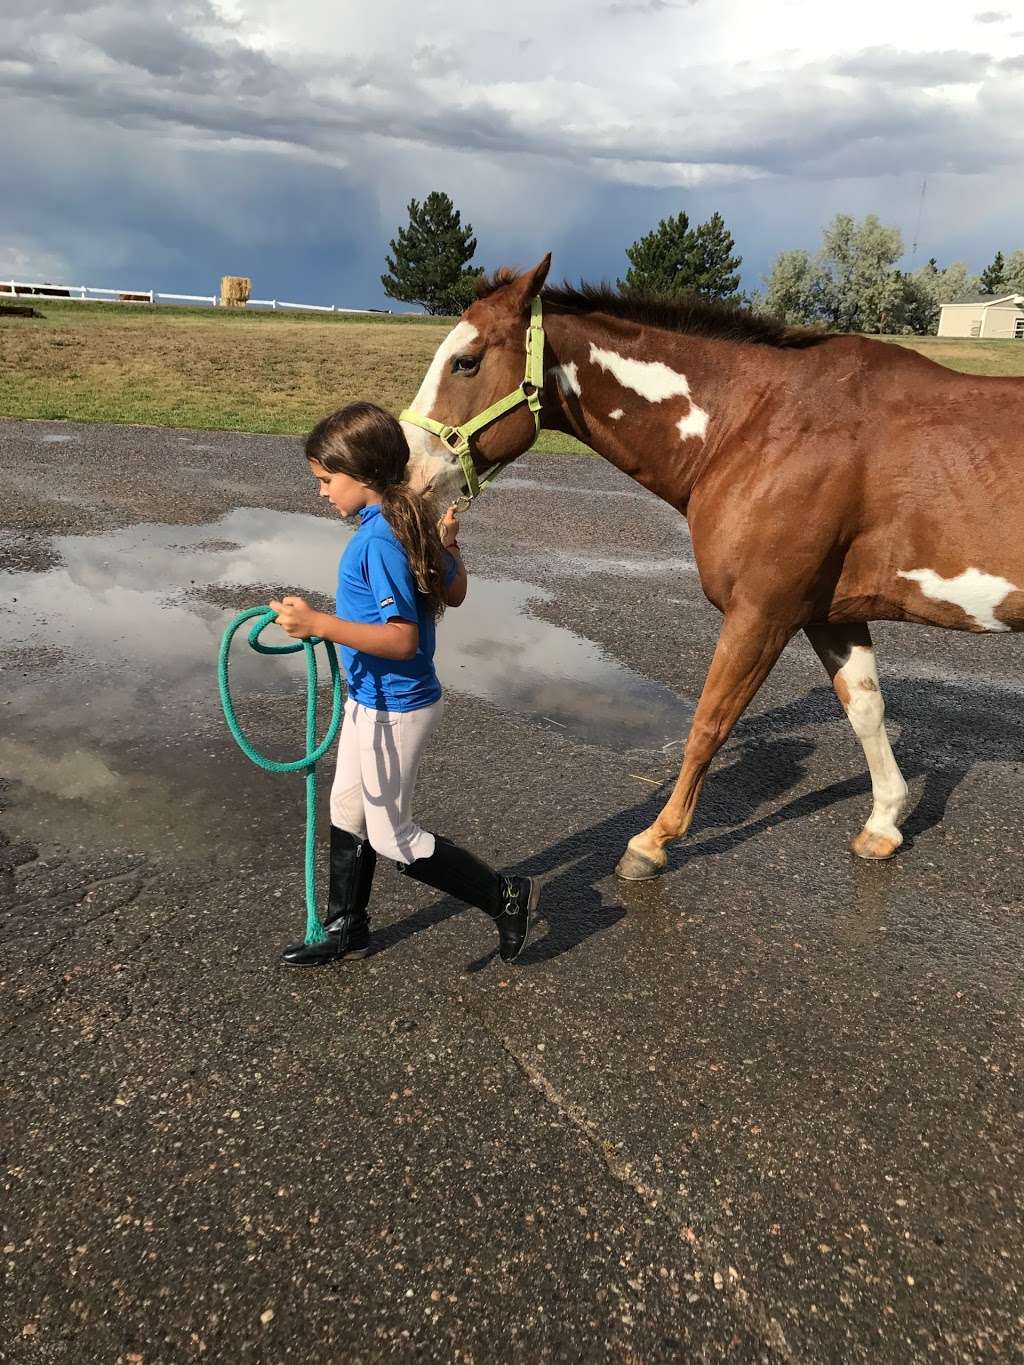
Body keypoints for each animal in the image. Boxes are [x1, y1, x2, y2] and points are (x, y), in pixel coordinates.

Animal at [401, 253, 1024, 884]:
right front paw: (883, 824)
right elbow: (866, 710)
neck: (757, 425)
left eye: (466, 361)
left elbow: (708, 724)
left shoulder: (761, 613)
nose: (407, 473)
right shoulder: (829, 614)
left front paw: (653, 840)